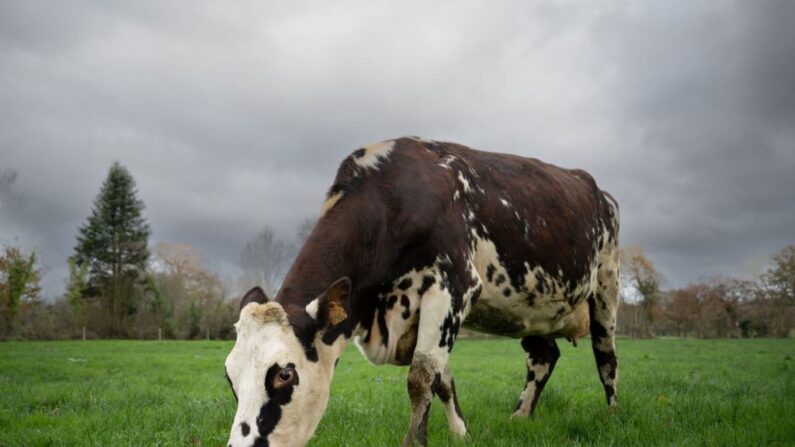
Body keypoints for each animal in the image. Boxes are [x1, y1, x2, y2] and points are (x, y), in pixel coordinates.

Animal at [224, 137, 620, 447]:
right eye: (229, 375)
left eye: (284, 374)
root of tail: (597, 189)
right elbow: (442, 379)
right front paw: (461, 434)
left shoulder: (451, 288)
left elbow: (421, 378)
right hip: (529, 309)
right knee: (544, 356)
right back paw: (520, 417)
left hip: (606, 285)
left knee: (606, 358)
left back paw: (613, 415)